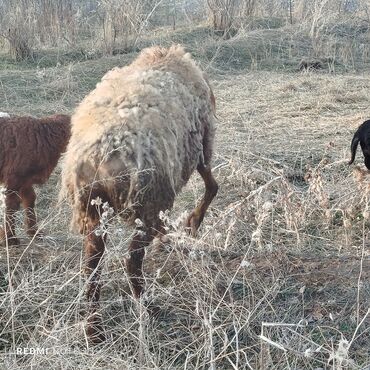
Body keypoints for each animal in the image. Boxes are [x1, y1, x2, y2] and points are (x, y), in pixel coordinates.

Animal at [0, 114, 71, 244]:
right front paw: (10, 238)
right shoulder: (15, 176)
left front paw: (34, 232)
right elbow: (11, 205)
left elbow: (30, 200)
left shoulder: (26, 180)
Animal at [59, 44, 218, 342]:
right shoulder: (200, 146)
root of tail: (104, 152)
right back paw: (148, 309)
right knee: (131, 262)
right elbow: (212, 186)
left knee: (92, 266)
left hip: (93, 210)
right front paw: (191, 224)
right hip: (147, 203)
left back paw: (94, 329)